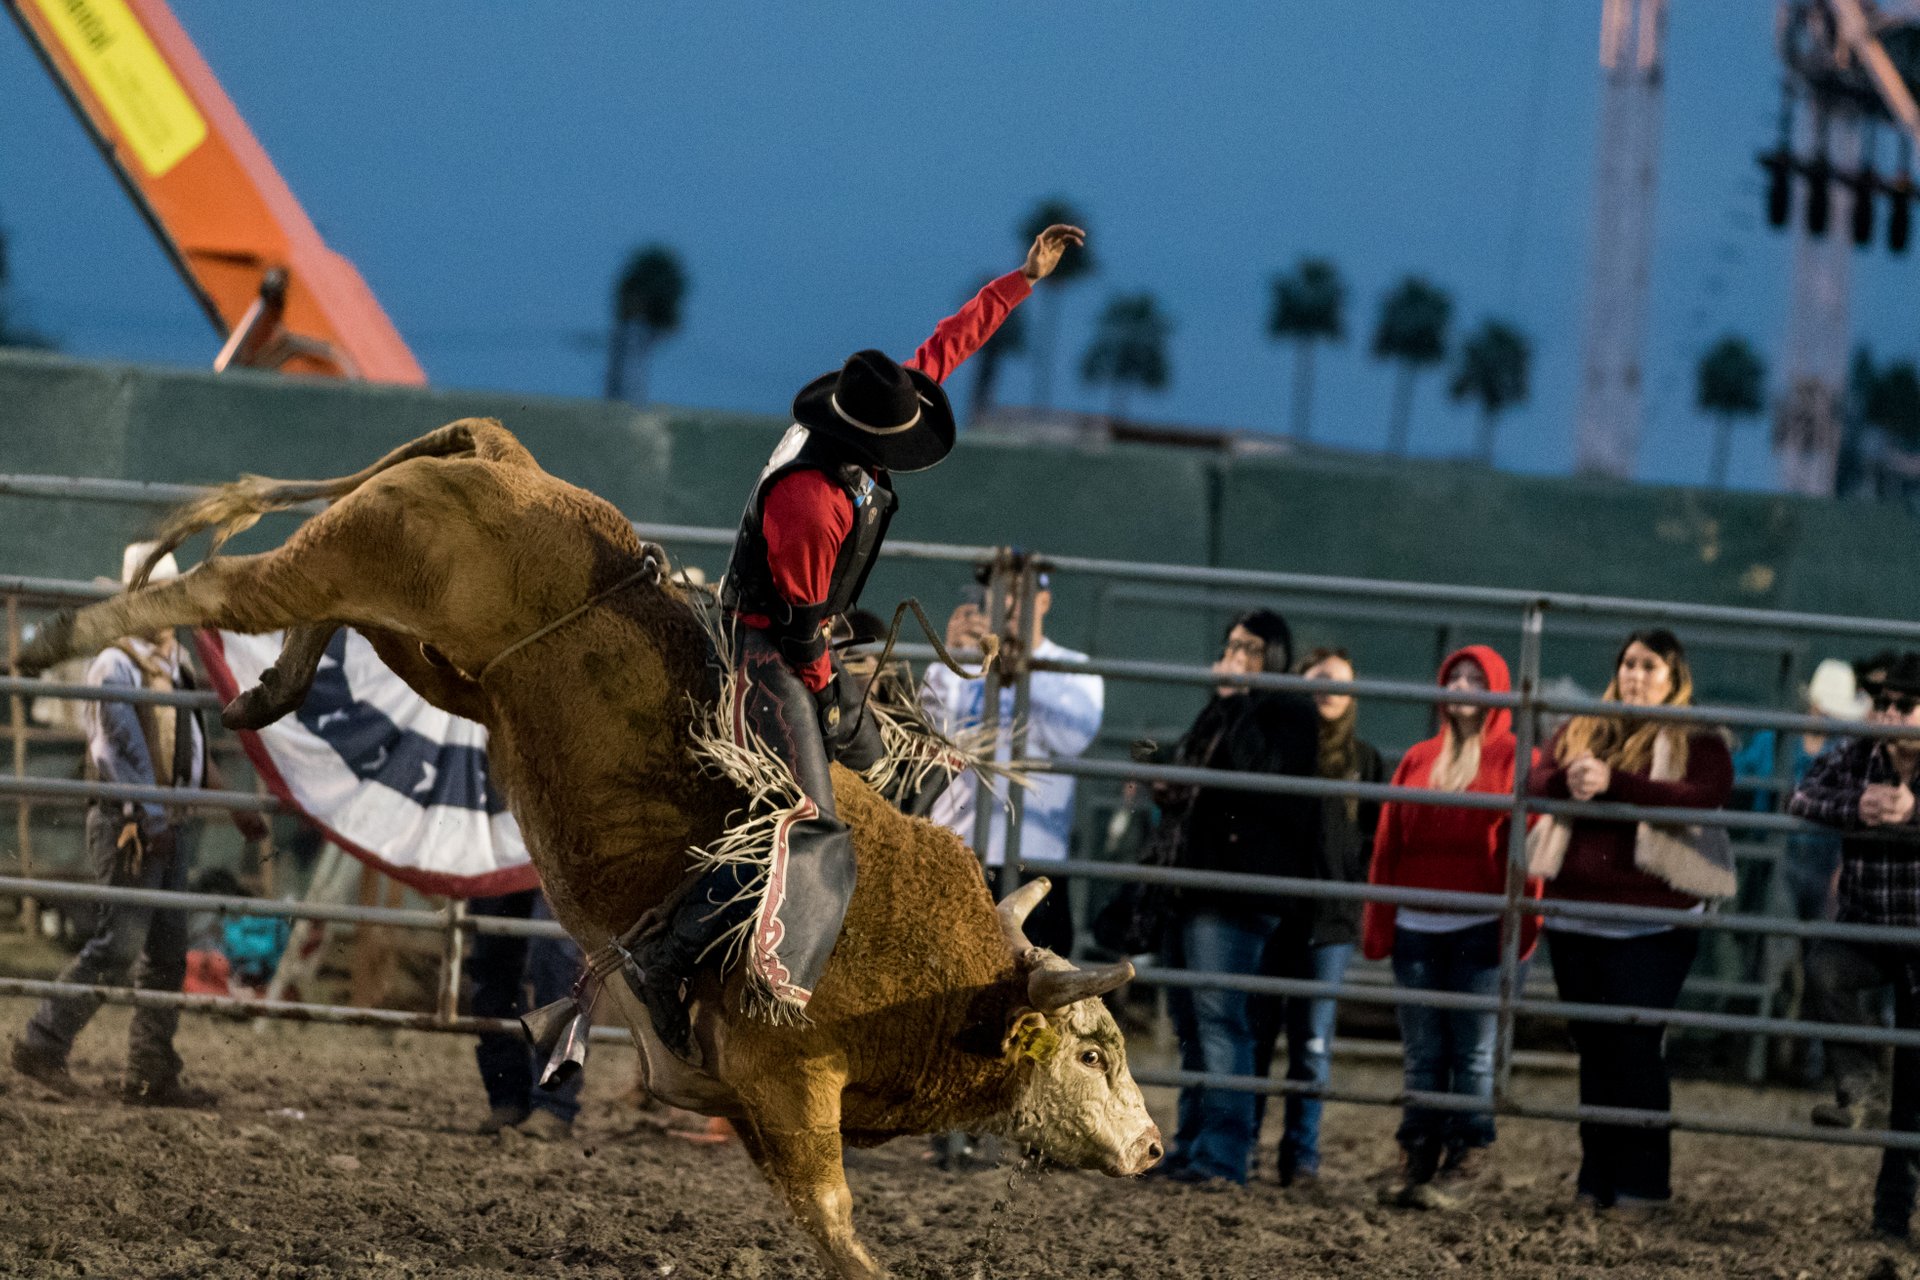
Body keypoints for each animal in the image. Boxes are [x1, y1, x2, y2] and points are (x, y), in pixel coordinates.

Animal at [15, 422, 1159, 1280]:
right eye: (1093, 1050)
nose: (1152, 1145)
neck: (940, 980)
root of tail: (504, 461)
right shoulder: (789, 1079)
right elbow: (833, 1215)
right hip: (367, 561)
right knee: (218, 584)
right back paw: (51, 641)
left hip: (444, 654)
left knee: (319, 617)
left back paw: (268, 688)